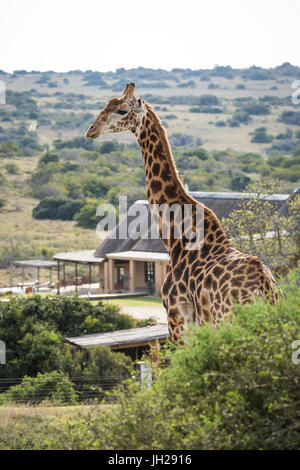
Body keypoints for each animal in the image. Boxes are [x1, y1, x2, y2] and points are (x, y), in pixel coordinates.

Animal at [86, 82, 282, 342]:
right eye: (106, 105)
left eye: (121, 110)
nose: (91, 130)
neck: (175, 237)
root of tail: (265, 289)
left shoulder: (177, 318)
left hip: (231, 324)